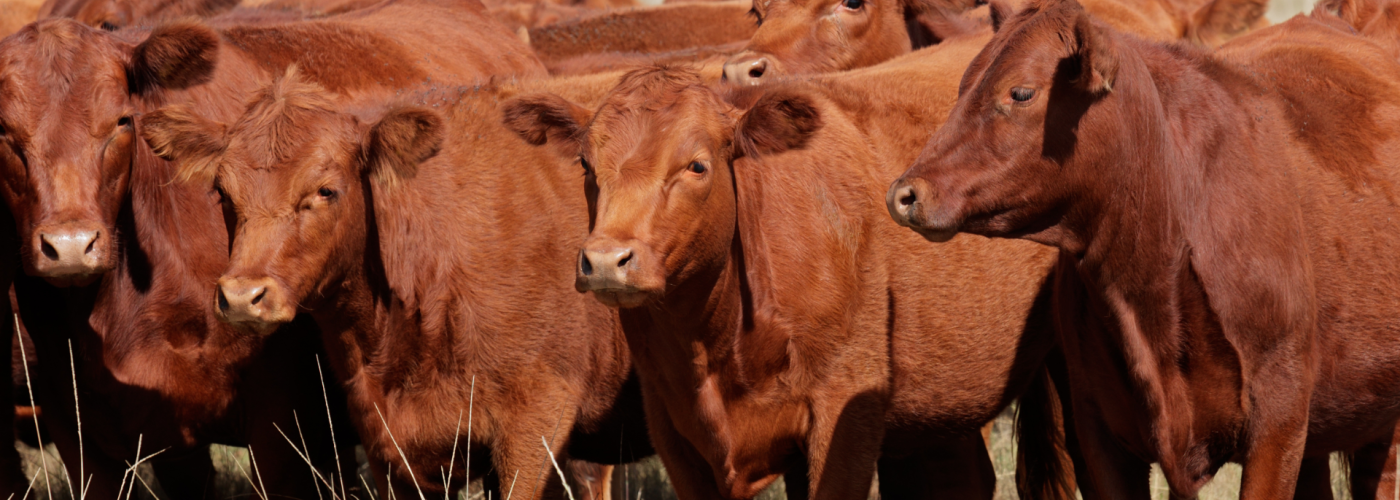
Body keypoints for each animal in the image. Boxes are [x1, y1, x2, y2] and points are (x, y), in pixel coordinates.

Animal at [499, 43, 1082, 499]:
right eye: (586, 165)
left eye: (697, 165)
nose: (605, 260)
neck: (716, 342)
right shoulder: (674, 431)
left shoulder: (846, 412)